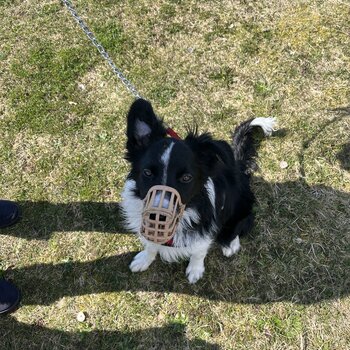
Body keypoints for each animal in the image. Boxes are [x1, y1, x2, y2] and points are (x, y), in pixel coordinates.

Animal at [121, 97, 276, 284]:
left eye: (186, 177)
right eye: (147, 172)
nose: (157, 217)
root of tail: (239, 167)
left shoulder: (206, 230)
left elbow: (199, 251)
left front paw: (195, 270)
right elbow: (151, 246)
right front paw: (144, 259)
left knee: (241, 222)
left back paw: (231, 243)